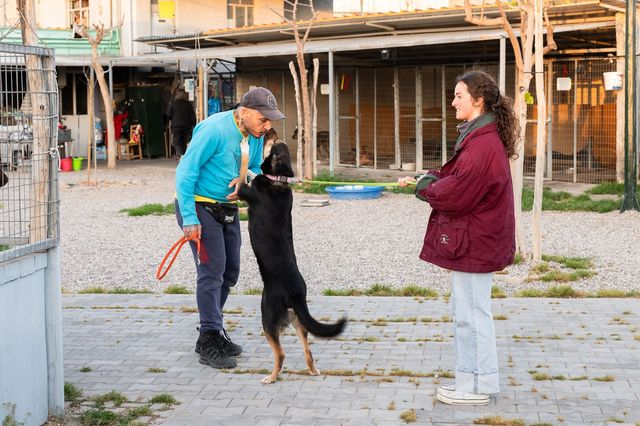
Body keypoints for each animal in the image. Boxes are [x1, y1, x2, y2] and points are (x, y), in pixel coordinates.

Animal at [239, 142, 348, 382]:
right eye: (280, 149)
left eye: (274, 149)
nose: (277, 139)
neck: (279, 179)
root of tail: (296, 294)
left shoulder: (245, 191)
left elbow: (242, 173)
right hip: (299, 322)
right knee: (308, 352)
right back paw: (312, 370)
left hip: (268, 316)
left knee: (280, 354)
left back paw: (271, 377)